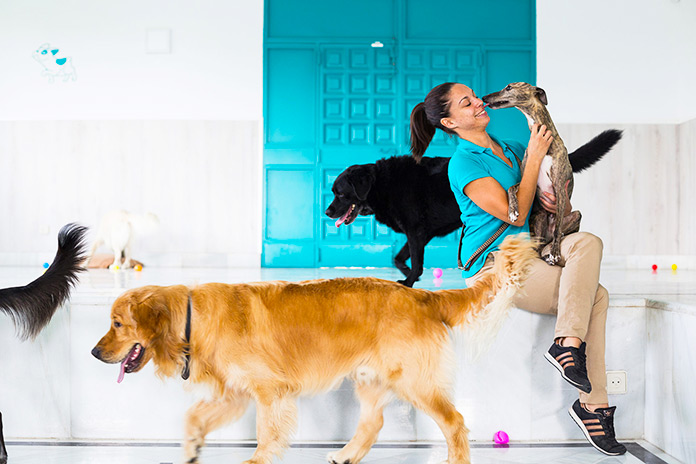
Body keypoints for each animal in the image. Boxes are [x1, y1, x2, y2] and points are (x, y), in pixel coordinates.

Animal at [328, 130, 624, 286]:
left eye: (340, 193)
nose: (327, 212)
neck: (382, 184)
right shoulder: (420, 234)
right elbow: (400, 258)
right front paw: (409, 275)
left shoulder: (415, 231)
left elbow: (414, 260)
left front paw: (410, 281)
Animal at [486, 83, 588, 264]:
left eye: (509, 87)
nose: (484, 97)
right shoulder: (526, 178)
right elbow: (511, 188)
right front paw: (513, 211)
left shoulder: (559, 187)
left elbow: (558, 228)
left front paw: (555, 253)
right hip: (539, 218)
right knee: (538, 248)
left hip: (575, 215)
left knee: (558, 232)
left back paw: (552, 251)